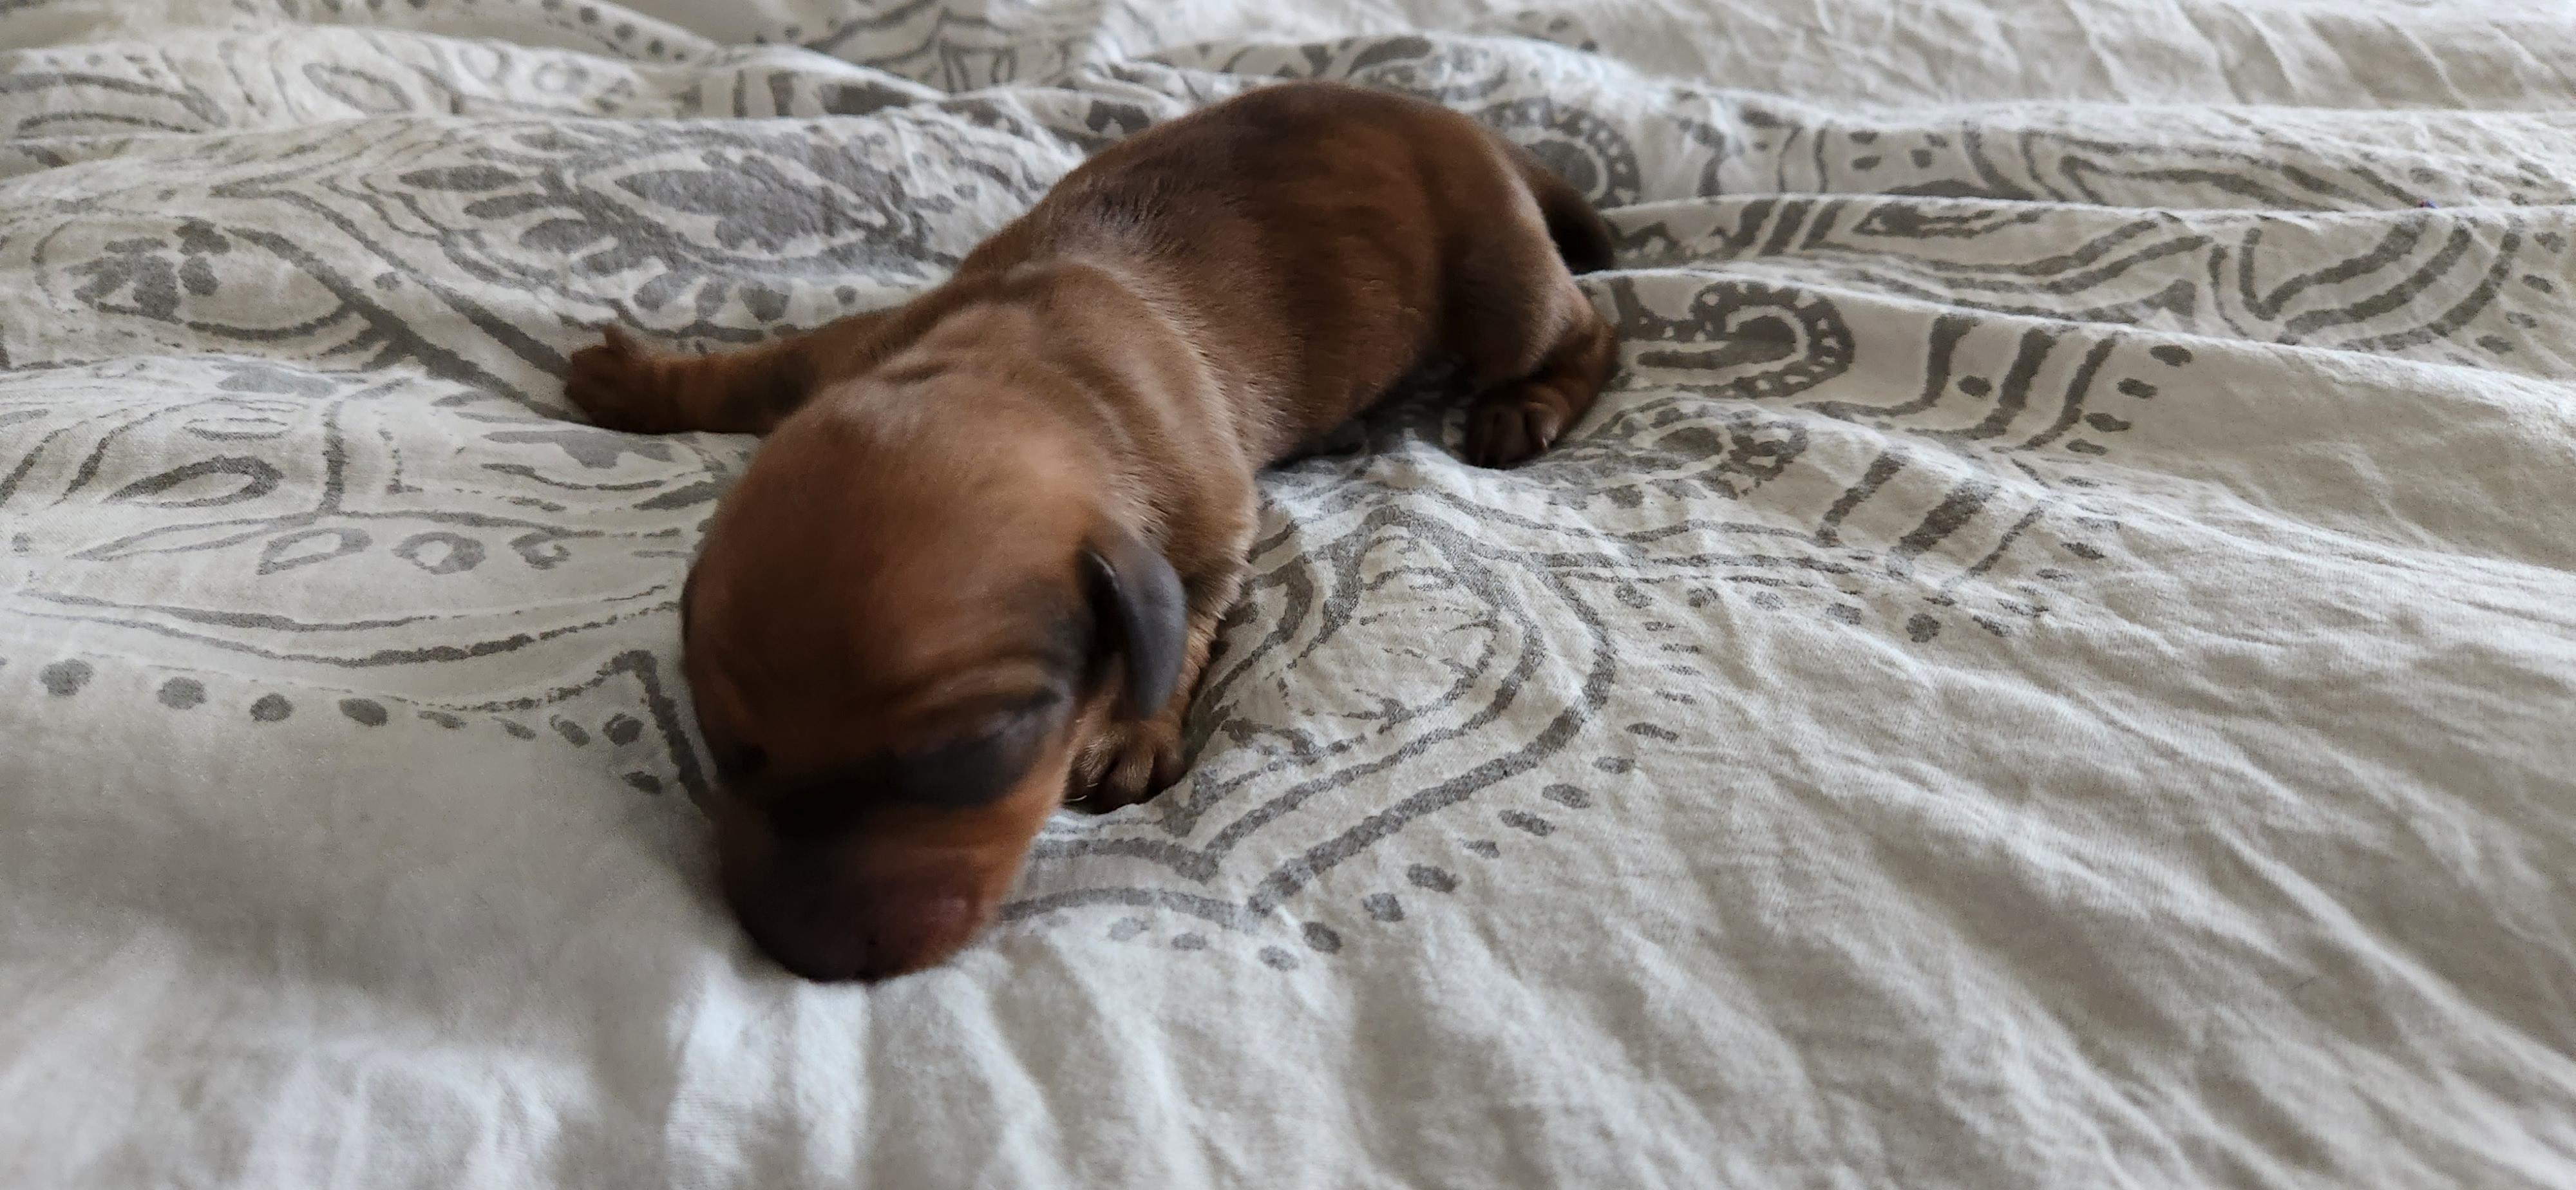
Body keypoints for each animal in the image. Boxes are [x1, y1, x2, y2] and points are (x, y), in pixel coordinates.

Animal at [564, 81, 1617, 981]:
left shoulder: (1208, 524)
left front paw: (1132, 730)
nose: (806, 960)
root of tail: (1471, 128)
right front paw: (648, 380)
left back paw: (1527, 406)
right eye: (726, 742)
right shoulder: (851, 355)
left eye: (981, 747)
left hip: (1499, 285)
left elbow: (1182, 626)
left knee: (1589, 327)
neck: (1011, 365)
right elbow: (767, 366)